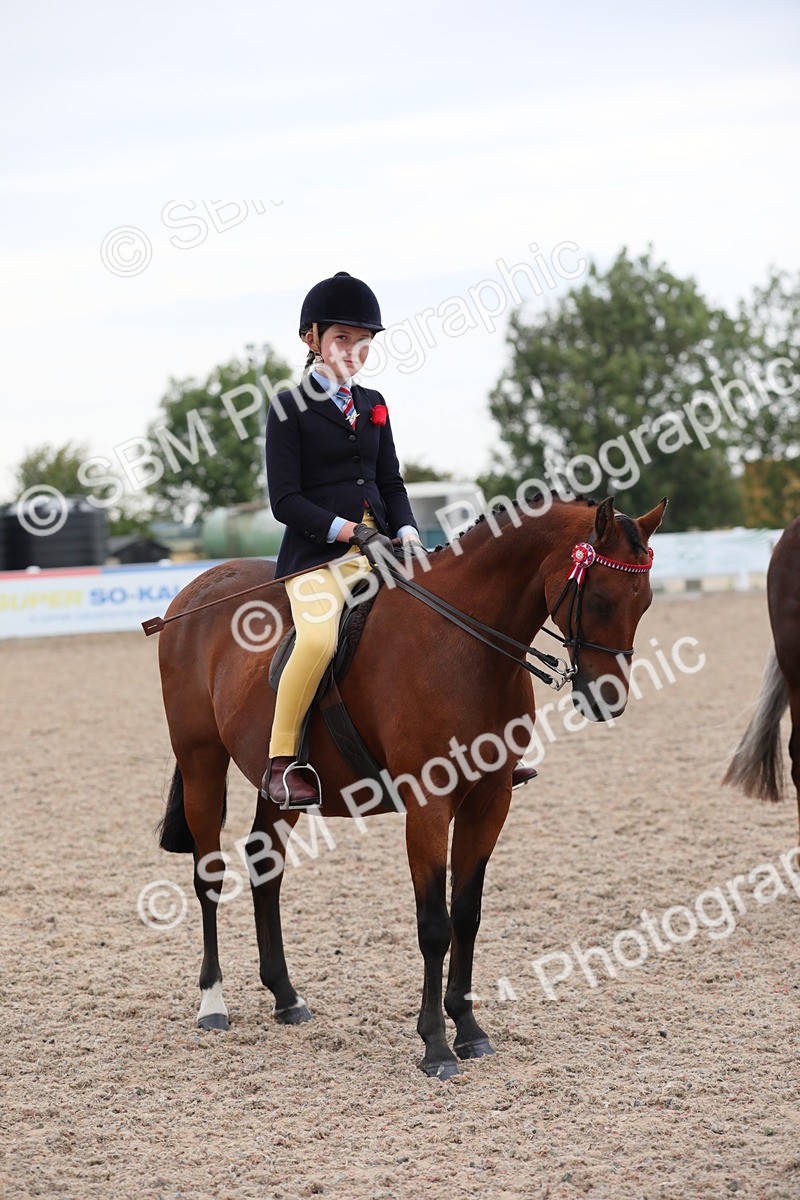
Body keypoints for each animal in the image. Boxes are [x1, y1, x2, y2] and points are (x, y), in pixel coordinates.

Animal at [154, 493, 666, 1079]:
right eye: (600, 599)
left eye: (644, 602)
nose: (608, 700)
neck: (465, 643)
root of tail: (199, 586)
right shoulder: (429, 803)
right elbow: (434, 925)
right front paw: (436, 1047)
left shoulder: (489, 800)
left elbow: (467, 915)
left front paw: (469, 1030)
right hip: (201, 762)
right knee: (209, 876)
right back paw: (212, 1004)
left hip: (277, 788)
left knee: (266, 868)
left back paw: (286, 997)